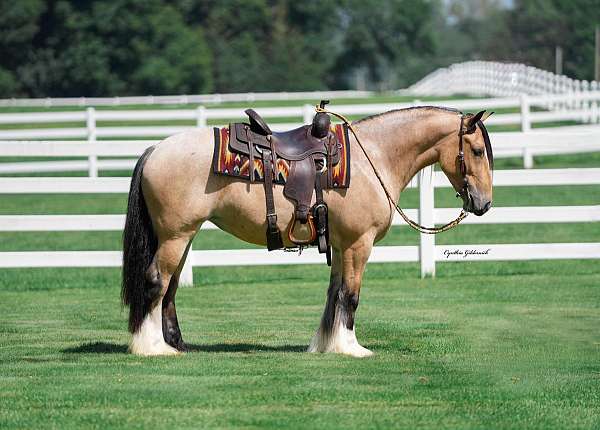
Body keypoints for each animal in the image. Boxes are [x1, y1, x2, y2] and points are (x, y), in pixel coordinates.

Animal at [120, 103, 492, 356]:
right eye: (476, 150)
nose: (484, 203)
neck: (372, 159)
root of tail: (155, 150)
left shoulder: (341, 246)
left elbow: (334, 294)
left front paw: (327, 344)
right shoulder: (359, 244)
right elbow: (350, 296)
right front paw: (351, 347)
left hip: (183, 238)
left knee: (170, 289)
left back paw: (176, 344)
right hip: (176, 236)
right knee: (156, 282)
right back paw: (152, 346)